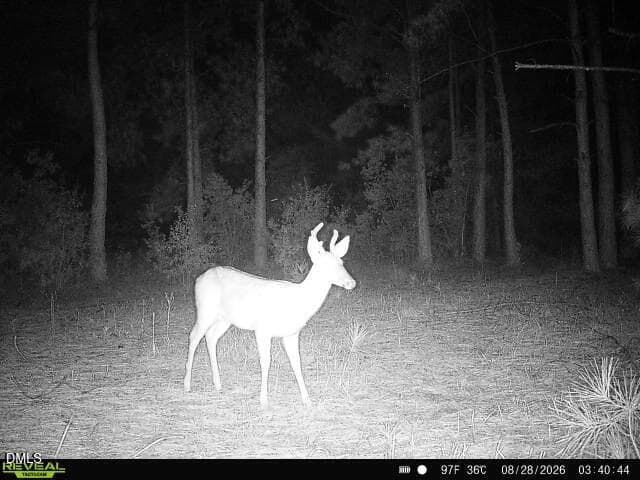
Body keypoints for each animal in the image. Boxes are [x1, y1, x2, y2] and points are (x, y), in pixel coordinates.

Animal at [183, 222, 356, 407]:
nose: (351, 282)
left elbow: (297, 363)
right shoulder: (262, 330)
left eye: (341, 262)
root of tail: (198, 279)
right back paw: (187, 384)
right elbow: (266, 362)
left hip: (224, 318)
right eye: (325, 265)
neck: (299, 300)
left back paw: (217, 383)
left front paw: (307, 399)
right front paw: (264, 400)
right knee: (194, 336)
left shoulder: (291, 333)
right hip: (204, 310)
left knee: (211, 337)